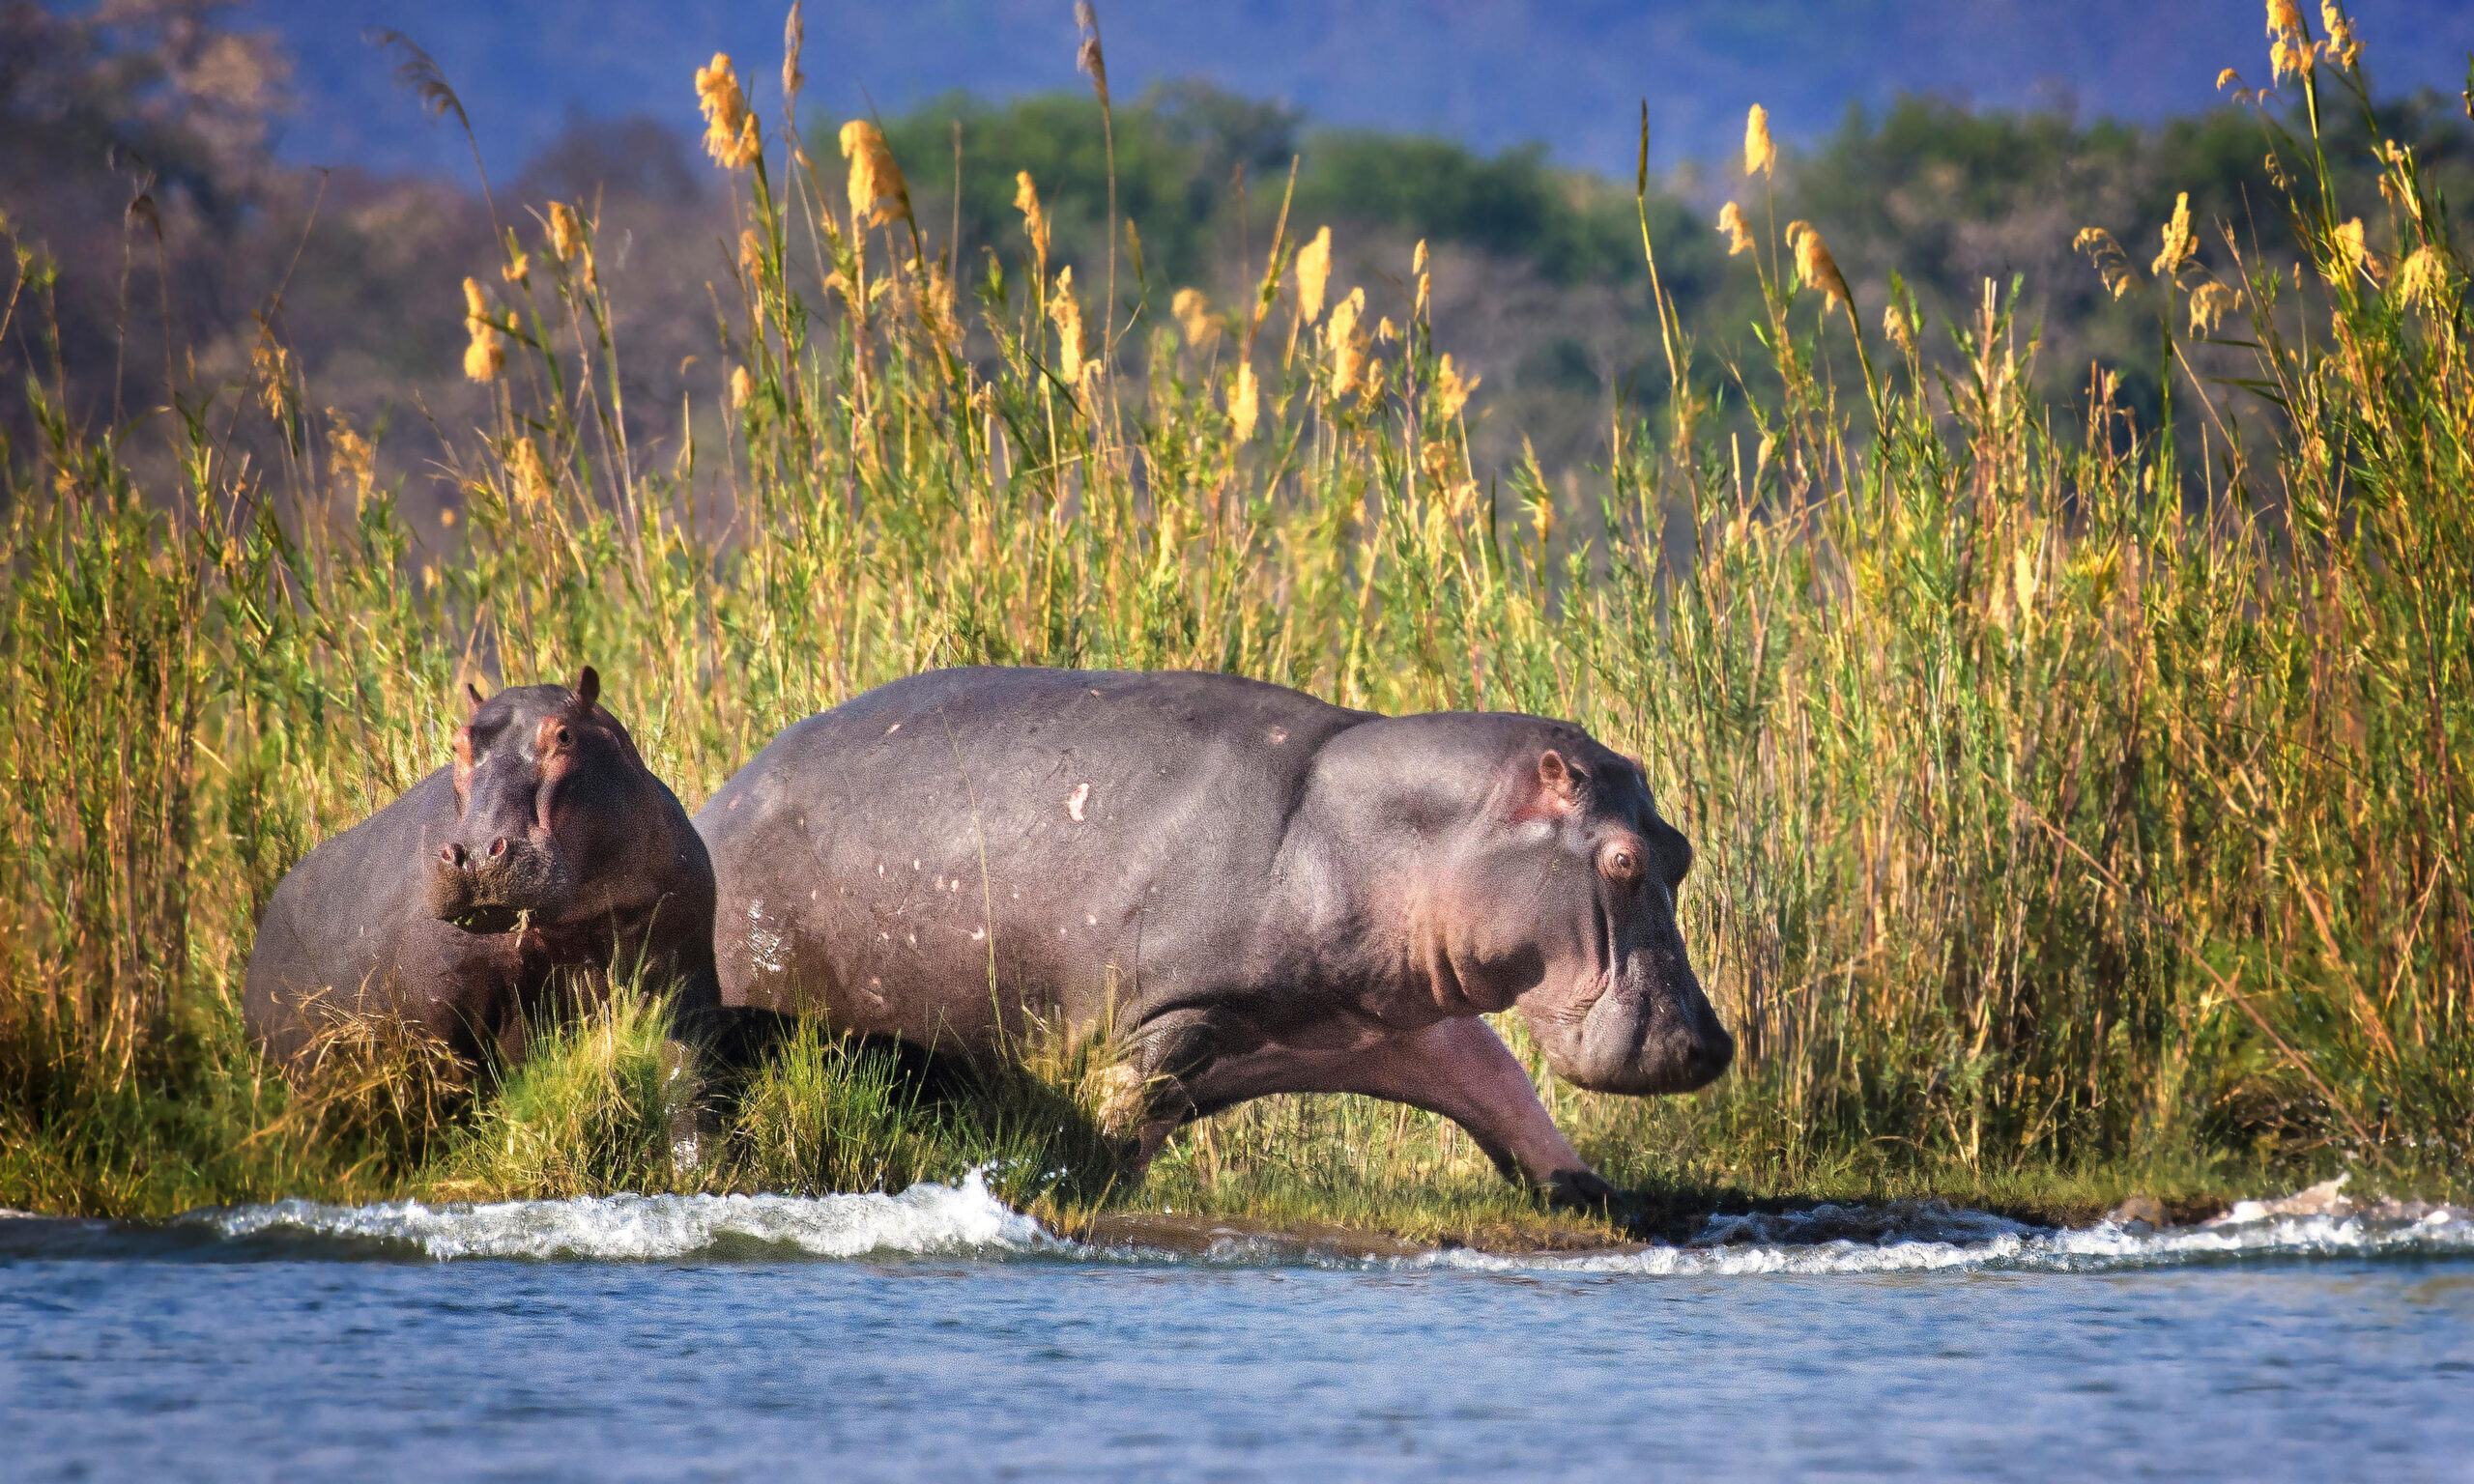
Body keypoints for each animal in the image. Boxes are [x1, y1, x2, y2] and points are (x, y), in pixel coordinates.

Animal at [696, 666, 1731, 1204]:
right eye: (1622, 860)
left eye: (1680, 848)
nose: (1710, 1044)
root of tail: (716, 802)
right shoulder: (1172, 1015)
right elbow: (1112, 1114)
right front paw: (1066, 1188)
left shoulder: (1383, 1023)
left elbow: (1500, 1086)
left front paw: (1589, 1192)